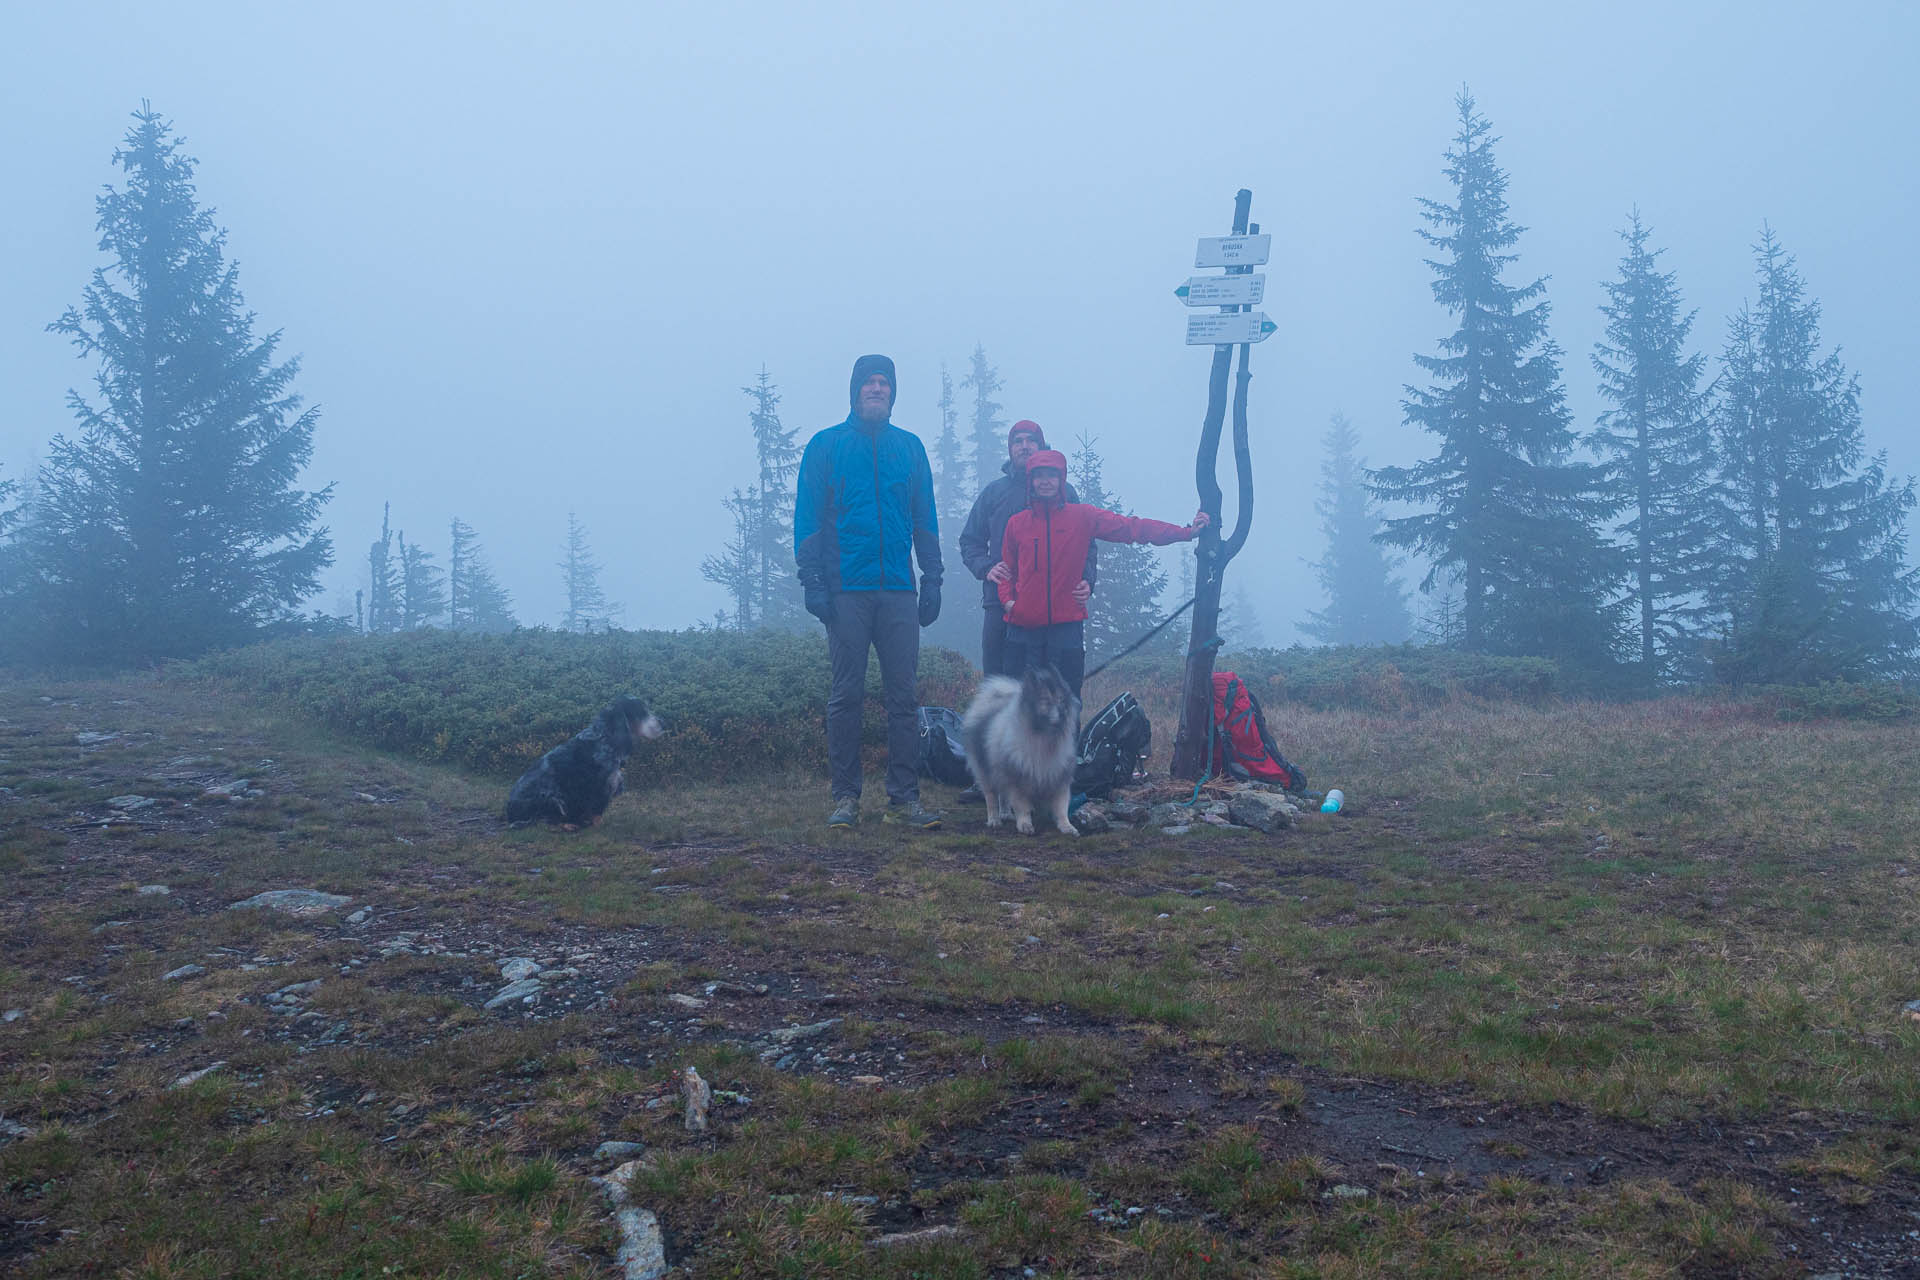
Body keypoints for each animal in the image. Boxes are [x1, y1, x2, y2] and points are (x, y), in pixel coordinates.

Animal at [506, 694, 664, 825]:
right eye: (640, 711)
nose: (663, 723)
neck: (604, 738)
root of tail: (508, 813)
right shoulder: (598, 785)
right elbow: (595, 812)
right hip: (552, 798)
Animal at [960, 667, 1082, 836]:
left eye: (1061, 700)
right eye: (1045, 701)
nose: (1062, 712)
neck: (1044, 738)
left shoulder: (1059, 778)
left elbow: (1061, 807)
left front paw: (1066, 826)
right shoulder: (1018, 780)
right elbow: (1022, 806)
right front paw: (1025, 825)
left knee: (1003, 796)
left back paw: (1005, 813)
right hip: (986, 772)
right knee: (991, 797)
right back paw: (994, 820)